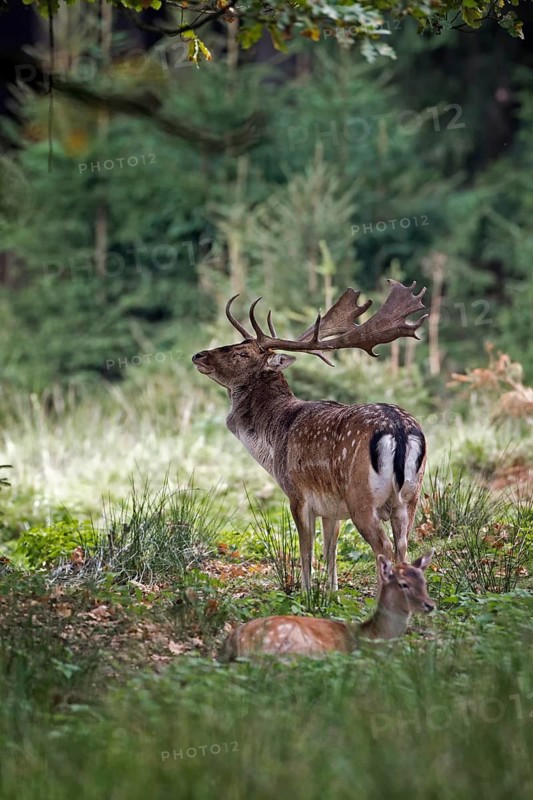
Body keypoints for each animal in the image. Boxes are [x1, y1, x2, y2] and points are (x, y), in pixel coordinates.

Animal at [192, 279, 428, 593]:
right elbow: (331, 550)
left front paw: (306, 593)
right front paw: (331, 592)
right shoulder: (331, 507)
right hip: (410, 498)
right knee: (403, 547)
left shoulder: (297, 493)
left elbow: (305, 550)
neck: (272, 438)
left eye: (241, 354)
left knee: (385, 548)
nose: (198, 355)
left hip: (362, 498)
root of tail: (399, 430)